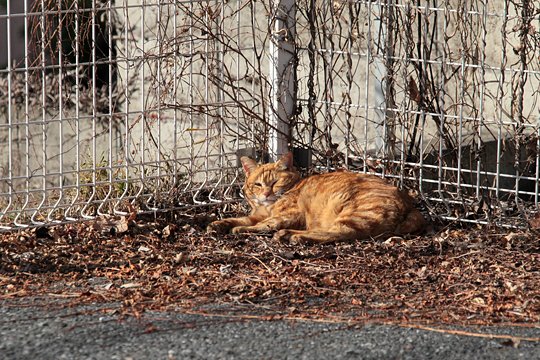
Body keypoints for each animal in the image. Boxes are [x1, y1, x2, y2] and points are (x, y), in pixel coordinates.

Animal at [209, 150, 424, 243]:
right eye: (258, 184)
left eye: (275, 182)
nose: (267, 193)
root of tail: (410, 204)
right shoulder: (257, 214)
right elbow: (241, 218)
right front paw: (218, 224)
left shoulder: (289, 215)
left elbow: (263, 224)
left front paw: (240, 229)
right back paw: (288, 235)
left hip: (353, 213)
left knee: (339, 233)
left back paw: (291, 236)